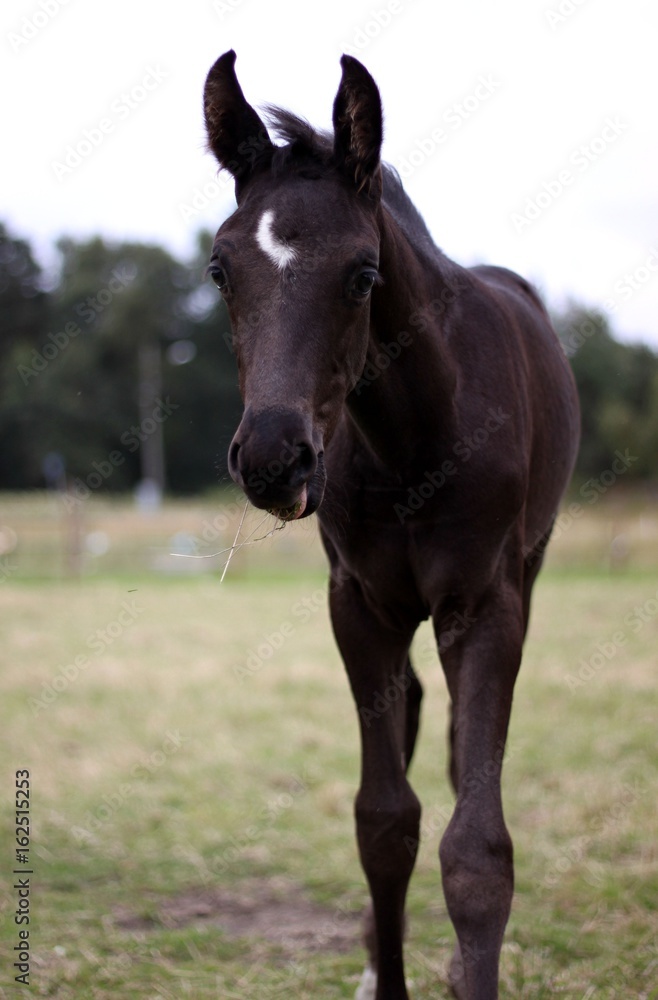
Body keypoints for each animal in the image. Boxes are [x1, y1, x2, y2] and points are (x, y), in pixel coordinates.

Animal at [201, 50, 580, 1000]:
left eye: (363, 274)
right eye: (220, 270)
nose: (275, 459)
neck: (414, 445)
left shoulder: (484, 607)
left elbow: (475, 846)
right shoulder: (361, 605)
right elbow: (384, 821)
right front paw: (386, 968)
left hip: (527, 572)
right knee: (408, 721)